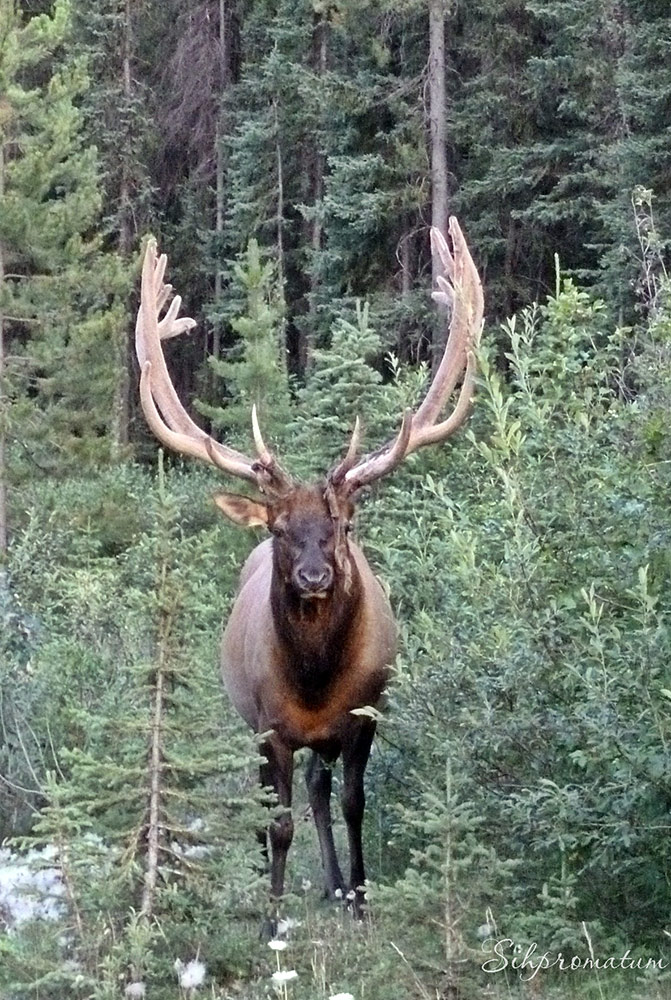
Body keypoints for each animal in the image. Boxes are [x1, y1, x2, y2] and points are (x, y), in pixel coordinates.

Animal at [135, 219, 484, 920]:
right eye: (278, 530)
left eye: (342, 525)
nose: (316, 576)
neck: (318, 681)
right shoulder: (270, 728)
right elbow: (277, 820)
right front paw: (272, 914)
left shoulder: (364, 718)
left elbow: (353, 803)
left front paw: (362, 898)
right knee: (269, 800)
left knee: (322, 791)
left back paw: (335, 882)